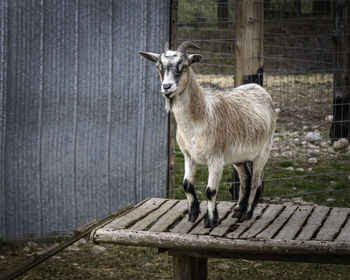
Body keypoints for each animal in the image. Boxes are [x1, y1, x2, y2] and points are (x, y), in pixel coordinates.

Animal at [138, 41, 278, 229]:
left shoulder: (215, 158)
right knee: (245, 179)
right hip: (239, 157)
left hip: (263, 151)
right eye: (158, 66)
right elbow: (187, 185)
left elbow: (210, 191)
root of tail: (261, 90)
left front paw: (210, 220)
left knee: (256, 181)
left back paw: (247, 213)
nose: (166, 87)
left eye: (184, 65)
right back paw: (238, 210)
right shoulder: (189, 156)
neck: (200, 116)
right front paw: (193, 213)